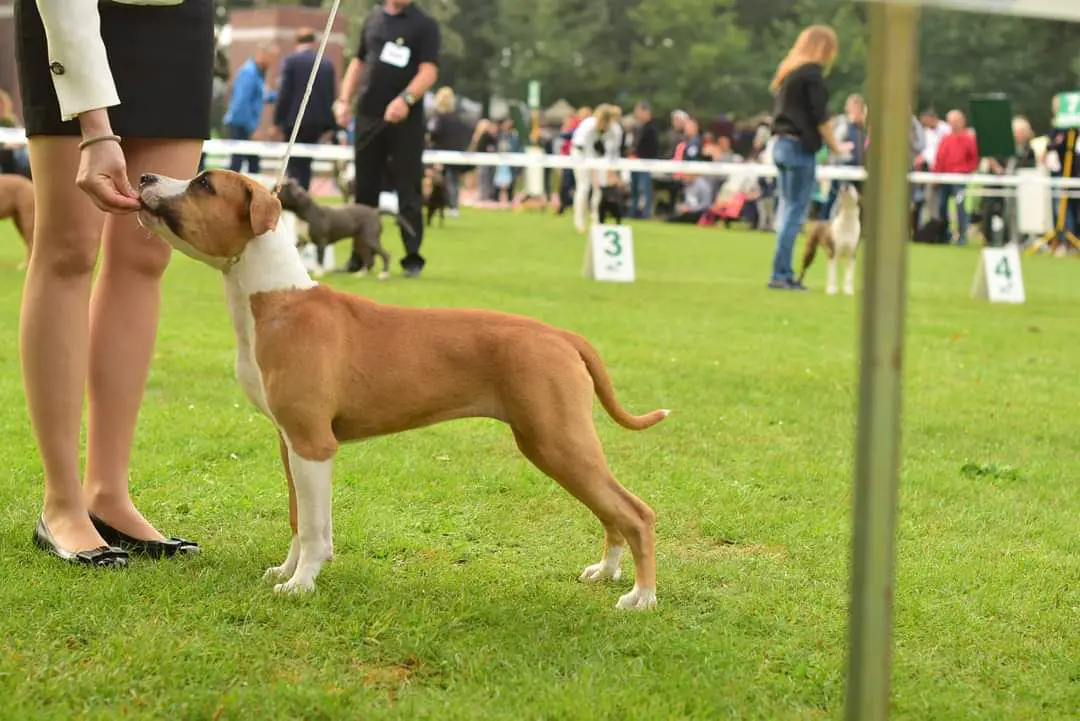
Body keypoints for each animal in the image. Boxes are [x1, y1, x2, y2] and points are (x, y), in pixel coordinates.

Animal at [278, 179, 412, 280]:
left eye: (280, 190)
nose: (273, 189)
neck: (306, 212)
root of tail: (375, 212)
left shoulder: (321, 241)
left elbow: (319, 258)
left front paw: (319, 273)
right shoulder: (302, 241)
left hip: (371, 239)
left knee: (385, 255)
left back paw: (384, 275)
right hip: (360, 241)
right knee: (368, 258)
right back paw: (360, 274)